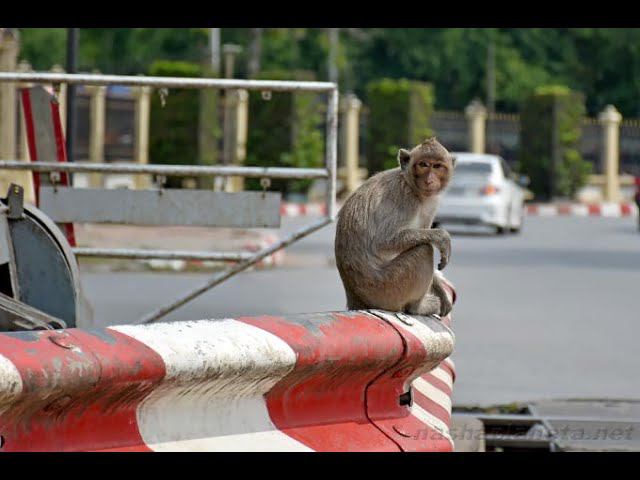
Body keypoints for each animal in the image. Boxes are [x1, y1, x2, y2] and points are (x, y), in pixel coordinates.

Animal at [336, 137, 456, 316]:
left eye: (437, 166)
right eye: (423, 165)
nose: (429, 180)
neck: (415, 190)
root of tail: (356, 300)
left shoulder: (431, 204)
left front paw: (441, 292)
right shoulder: (404, 199)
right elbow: (383, 241)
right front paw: (442, 237)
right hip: (387, 288)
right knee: (424, 249)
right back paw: (417, 308)